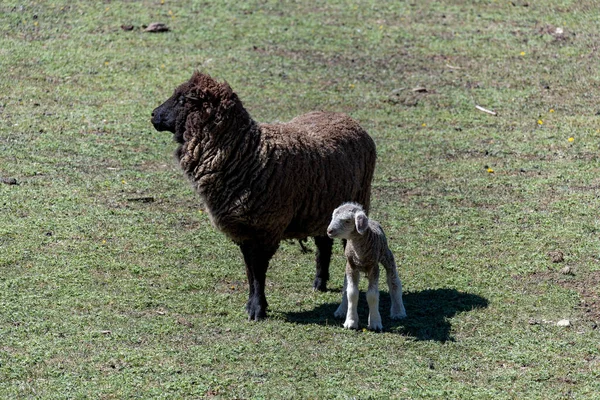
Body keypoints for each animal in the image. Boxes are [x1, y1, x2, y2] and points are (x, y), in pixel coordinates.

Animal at [328, 203, 408, 332]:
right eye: (333, 217)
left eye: (347, 221)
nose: (329, 231)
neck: (360, 252)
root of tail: (370, 219)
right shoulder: (351, 267)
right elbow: (351, 293)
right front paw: (350, 321)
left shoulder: (373, 267)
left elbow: (372, 295)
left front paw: (375, 322)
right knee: (346, 286)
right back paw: (341, 310)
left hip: (386, 254)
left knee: (394, 281)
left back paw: (398, 311)